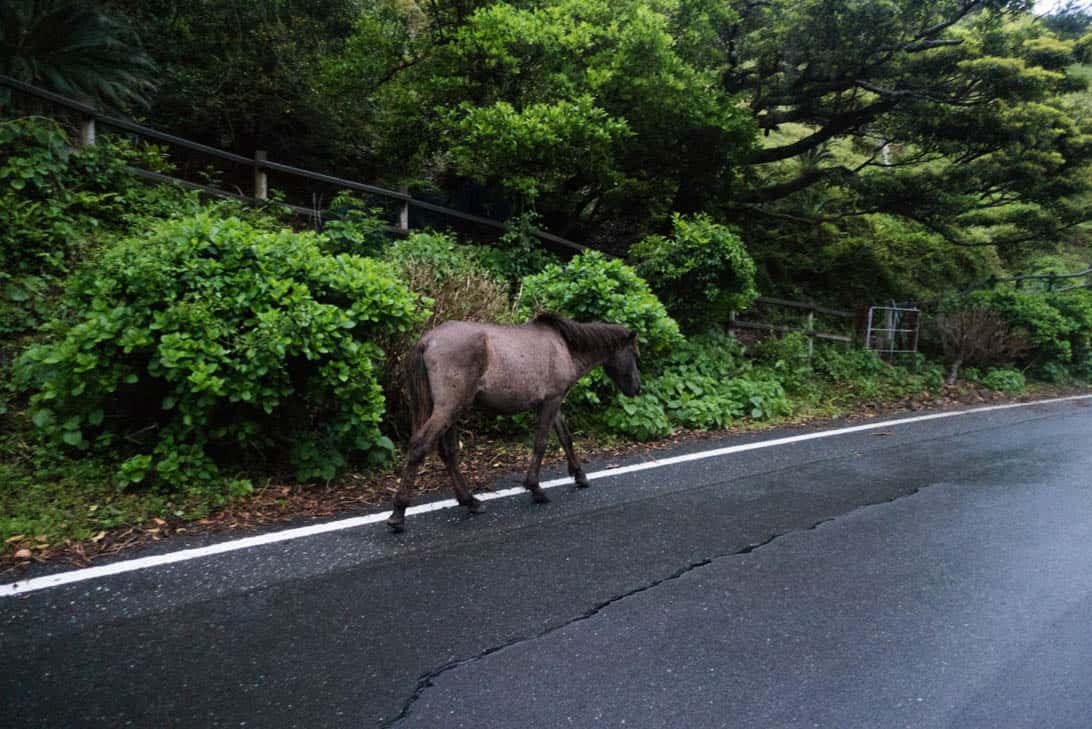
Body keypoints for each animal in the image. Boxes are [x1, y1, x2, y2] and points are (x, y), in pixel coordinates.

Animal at [386, 312, 637, 530]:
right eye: (635, 355)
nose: (637, 388)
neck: (564, 346)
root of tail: (427, 341)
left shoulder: (551, 405)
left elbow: (566, 439)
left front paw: (580, 476)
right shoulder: (552, 402)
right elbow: (541, 443)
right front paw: (535, 488)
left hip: (450, 412)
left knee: (448, 453)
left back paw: (470, 501)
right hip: (448, 409)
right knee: (420, 446)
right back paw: (398, 513)